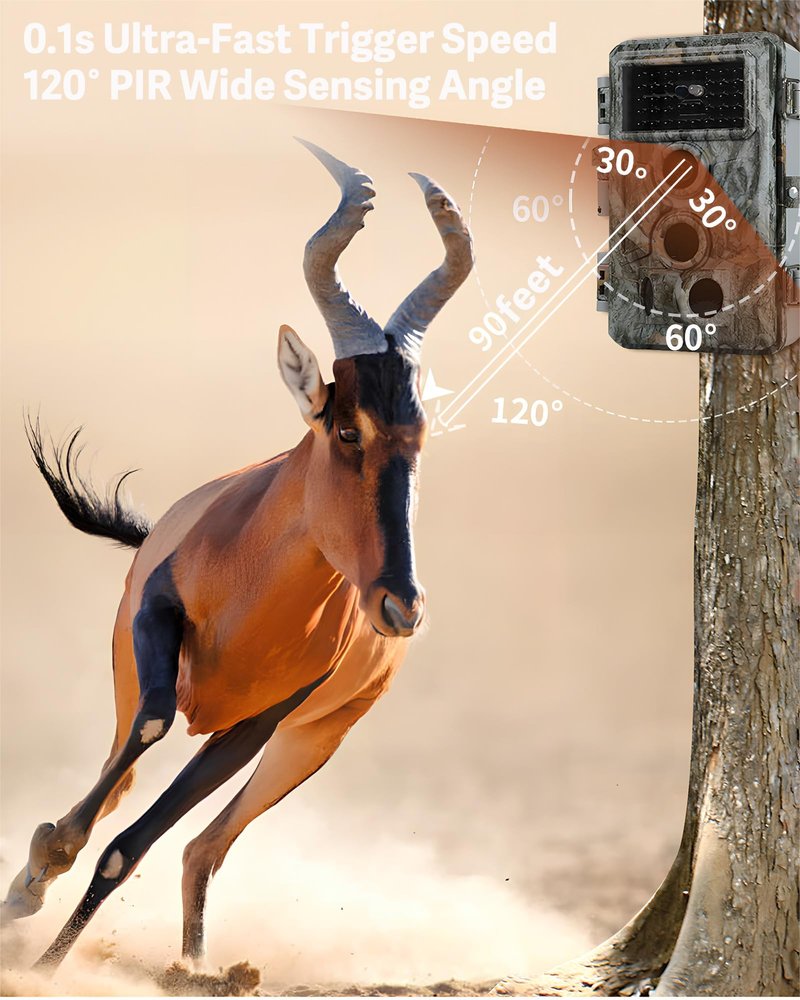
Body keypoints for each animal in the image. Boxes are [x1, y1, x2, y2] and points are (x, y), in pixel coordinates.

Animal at [2, 139, 473, 970]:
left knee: (202, 846)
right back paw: (42, 887)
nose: (401, 604)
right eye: (345, 427)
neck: (255, 587)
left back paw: (194, 966)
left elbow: (129, 851)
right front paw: (37, 883)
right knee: (130, 781)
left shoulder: (256, 727)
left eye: (420, 436)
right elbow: (148, 737)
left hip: (306, 747)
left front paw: (46, 965)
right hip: (137, 682)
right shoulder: (156, 625)